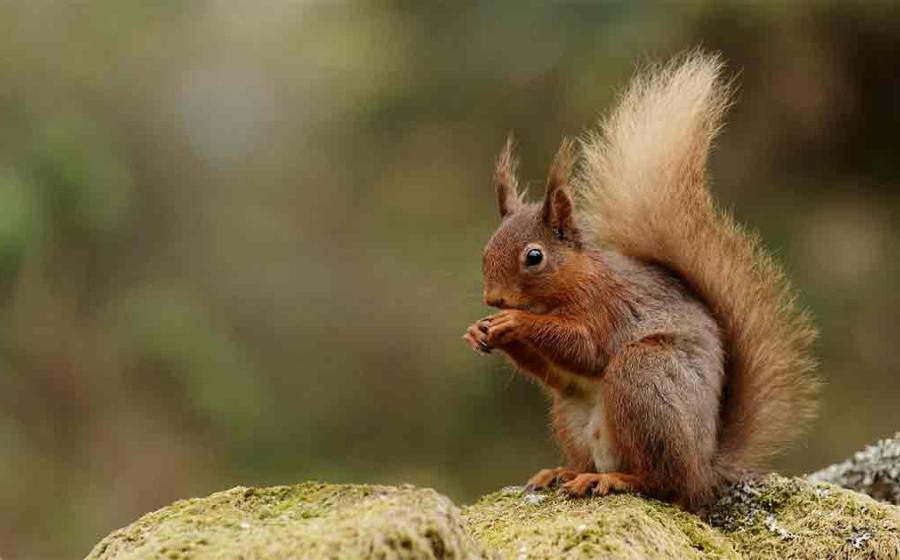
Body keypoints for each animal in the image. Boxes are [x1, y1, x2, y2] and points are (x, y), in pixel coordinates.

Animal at [462, 52, 819, 511]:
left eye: (534, 257)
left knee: (661, 483)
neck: (571, 281)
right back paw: (565, 472)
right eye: (485, 251)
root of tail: (703, 469)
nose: (494, 300)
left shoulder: (606, 306)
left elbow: (585, 349)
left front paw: (516, 324)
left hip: (643, 377)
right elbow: (553, 370)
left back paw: (612, 479)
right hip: (570, 414)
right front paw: (480, 331)